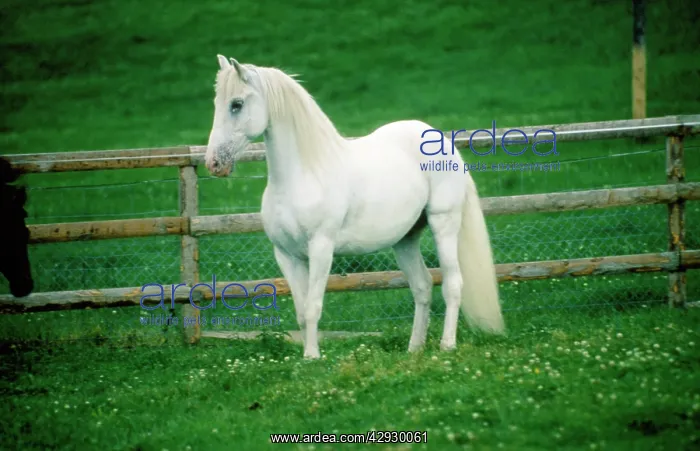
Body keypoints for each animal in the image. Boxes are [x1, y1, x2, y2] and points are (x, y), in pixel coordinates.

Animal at [204, 55, 504, 359]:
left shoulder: (321, 249)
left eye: (237, 104)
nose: (213, 164)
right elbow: (301, 311)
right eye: (216, 102)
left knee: (453, 284)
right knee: (422, 287)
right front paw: (306, 356)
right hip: (405, 239)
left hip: (444, 224)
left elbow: (313, 307)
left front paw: (313, 357)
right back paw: (414, 349)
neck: (304, 175)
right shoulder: (287, 255)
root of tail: (444, 142)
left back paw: (447, 345)